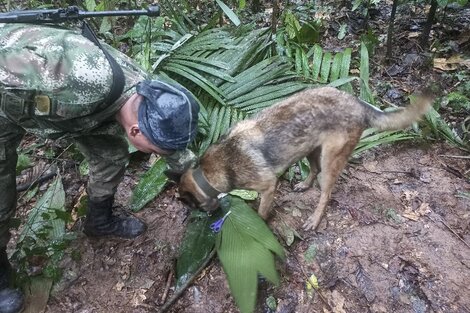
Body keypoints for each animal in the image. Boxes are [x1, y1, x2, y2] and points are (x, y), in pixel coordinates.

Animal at [174, 86, 432, 230]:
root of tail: (358, 103)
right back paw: (304, 185)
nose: (208, 216)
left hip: (330, 160)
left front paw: (259, 224)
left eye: (192, 205)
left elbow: (262, 212)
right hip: (310, 148)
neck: (209, 171)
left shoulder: (268, 187)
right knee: (314, 170)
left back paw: (315, 219)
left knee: (326, 193)